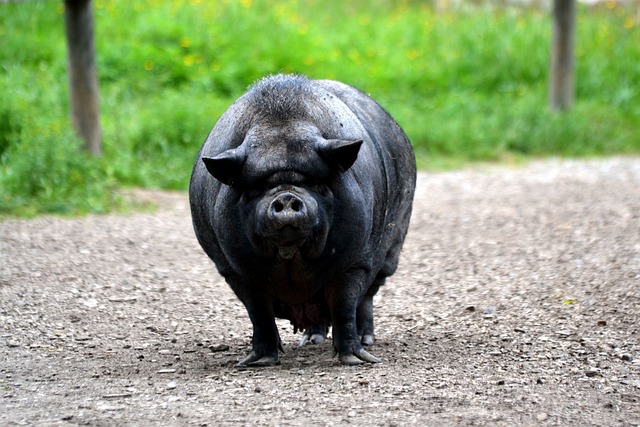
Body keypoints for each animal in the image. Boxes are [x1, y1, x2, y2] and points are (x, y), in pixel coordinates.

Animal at [188, 74, 418, 368]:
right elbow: (258, 313)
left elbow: (344, 306)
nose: (286, 197)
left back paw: (366, 340)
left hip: (390, 250)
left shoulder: (356, 261)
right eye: (255, 189)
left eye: (317, 184)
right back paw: (310, 341)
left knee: (366, 298)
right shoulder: (232, 270)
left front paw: (358, 360)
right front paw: (255, 362)